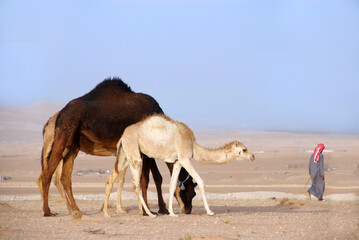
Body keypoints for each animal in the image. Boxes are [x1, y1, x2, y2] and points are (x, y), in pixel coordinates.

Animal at [38, 78, 197, 218]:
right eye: (192, 192)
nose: (188, 210)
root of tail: (59, 115)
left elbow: (155, 177)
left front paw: (159, 209)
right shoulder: (143, 151)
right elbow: (145, 179)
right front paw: (147, 211)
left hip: (73, 145)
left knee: (65, 177)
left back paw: (76, 211)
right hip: (63, 135)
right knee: (48, 173)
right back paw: (48, 211)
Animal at [104, 114, 256, 218]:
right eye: (244, 149)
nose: (253, 156)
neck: (193, 145)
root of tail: (123, 135)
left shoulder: (177, 162)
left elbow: (172, 186)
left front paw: (172, 213)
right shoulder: (185, 158)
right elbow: (201, 181)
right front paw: (210, 211)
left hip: (124, 155)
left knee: (110, 179)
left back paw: (106, 213)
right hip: (134, 153)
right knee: (135, 185)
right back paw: (150, 214)